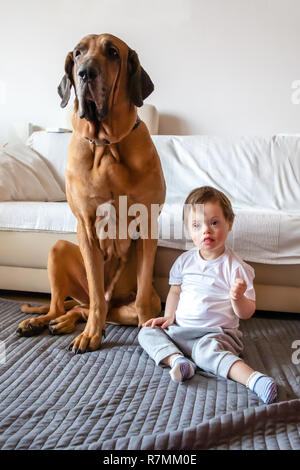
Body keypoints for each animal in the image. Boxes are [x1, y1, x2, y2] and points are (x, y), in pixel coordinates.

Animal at [16, 34, 165, 352]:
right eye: (78, 53)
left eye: (113, 52)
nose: (85, 73)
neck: (107, 146)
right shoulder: (85, 225)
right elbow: (97, 295)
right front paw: (90, 335)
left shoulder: (148, 226)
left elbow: (142, 296)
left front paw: (151, 330)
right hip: (58, 249)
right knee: (71, 305)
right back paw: (43, 322)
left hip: (126, 305)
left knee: (90, 308)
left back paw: (62, 323)